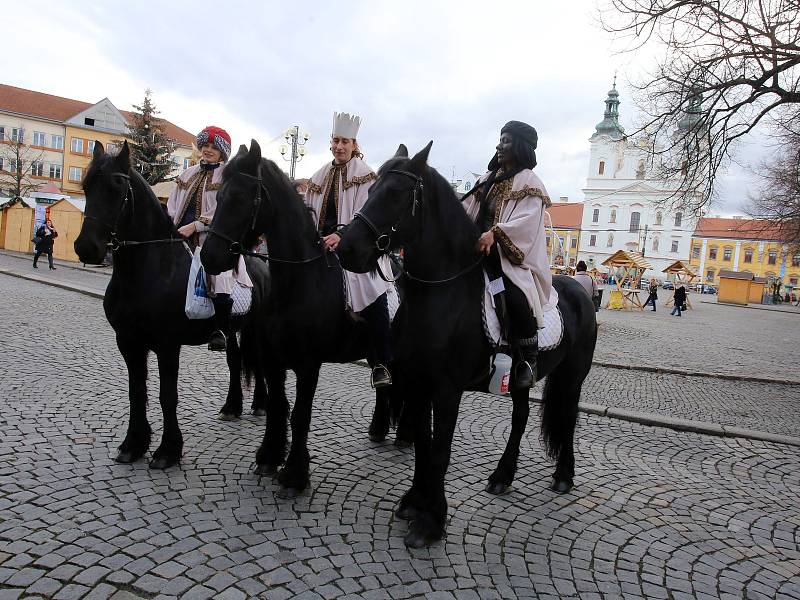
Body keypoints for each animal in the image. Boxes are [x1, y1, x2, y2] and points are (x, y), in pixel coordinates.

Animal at [74, 142, 272, 468]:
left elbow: (167, 396)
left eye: (117, 187)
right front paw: (133, 445)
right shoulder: (128, 342)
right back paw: (232, 407)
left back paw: (260, 405)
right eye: (87, 186)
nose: (86, 248)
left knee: (260, 363)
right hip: (233, 331)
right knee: (235, 362)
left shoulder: (167, 345)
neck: (148, 269)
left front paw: (167, 450)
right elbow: (136, 392)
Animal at [202, 142, 396, 496]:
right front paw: (269, 455)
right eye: (218, 196)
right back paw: (378, 428)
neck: (297, 283)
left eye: (240, 198)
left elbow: (301, 414)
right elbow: (279, 406)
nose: (210, 256)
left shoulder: (309, 365)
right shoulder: (273, 360)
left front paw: (294, 474)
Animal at [334, 143, 596, 548]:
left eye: (395, 193)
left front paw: (431, 522)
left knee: (566, 418)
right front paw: (414, 502)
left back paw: (564, 475)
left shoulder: (446, 389)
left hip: (572, 375)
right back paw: (502, 476)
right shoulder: (416, 382)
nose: (345, 247)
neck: (442, 292)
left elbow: (440, 450)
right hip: (521, 378)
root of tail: (579, 291)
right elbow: (423, 446)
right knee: (521, 418)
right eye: (370, 189)